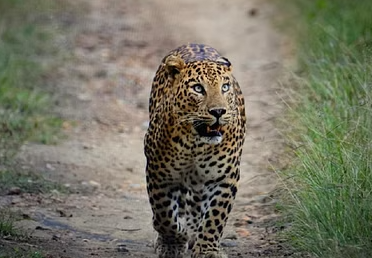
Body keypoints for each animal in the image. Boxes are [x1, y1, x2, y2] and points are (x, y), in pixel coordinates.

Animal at [144, 43, 246, 258]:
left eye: (225, 87)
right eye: (198, 88)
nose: (219, 112)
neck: (195, 145)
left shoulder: (225, 177)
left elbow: (215, 216)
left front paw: (207, 250)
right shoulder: (159, 174)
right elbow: (164, 216)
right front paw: (172, 243)